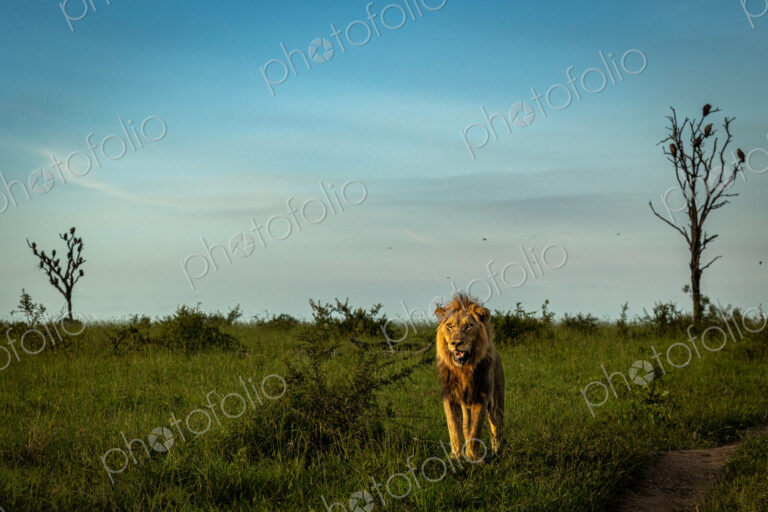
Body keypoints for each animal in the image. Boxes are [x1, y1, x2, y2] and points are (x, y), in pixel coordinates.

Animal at [434, 294, 504, 462]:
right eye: (450, 326)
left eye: (468, 326)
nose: (456, 343)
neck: (463, 370)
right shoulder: (450, 397)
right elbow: (454, 427)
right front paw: (456, 457)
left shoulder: (481, 395)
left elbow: (475, 429)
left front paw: (473, 459)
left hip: (497, 402)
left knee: (496, 425)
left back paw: (497, 453)